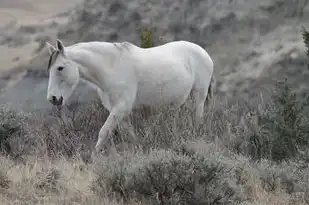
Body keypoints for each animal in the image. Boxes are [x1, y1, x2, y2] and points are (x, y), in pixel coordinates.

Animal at [45, 38, 214, 154]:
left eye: (60, 68)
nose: (52, 99)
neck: (111, 68)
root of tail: (203, 51)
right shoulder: (118, 111)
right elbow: (130, 134)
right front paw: (140, 148)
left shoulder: (121, 108)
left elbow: (103, 132)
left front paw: (93, 158)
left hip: (199, 95)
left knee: (198, 118)